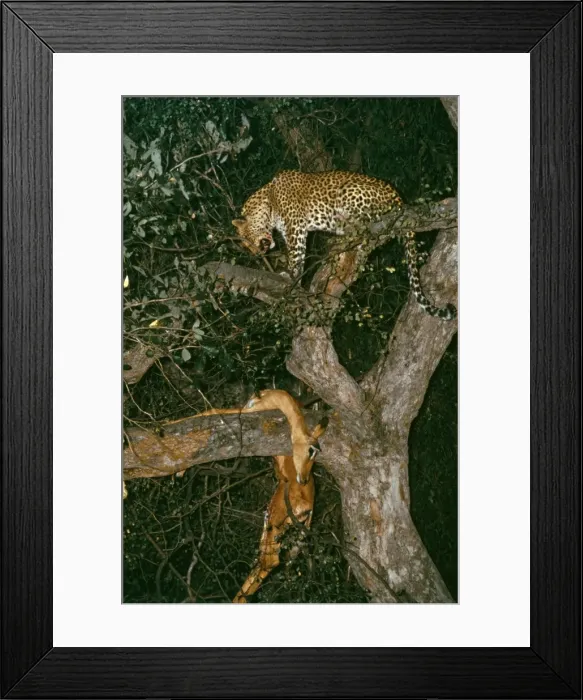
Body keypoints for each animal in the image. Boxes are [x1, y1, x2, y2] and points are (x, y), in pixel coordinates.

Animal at [232, 170, 456, 320]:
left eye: (248, 242)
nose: (256, 254)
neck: (269, 201)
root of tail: (399, 198)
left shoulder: (295, 228)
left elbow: (296, 256)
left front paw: (290, 276)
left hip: (348, 191)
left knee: (368, 218)